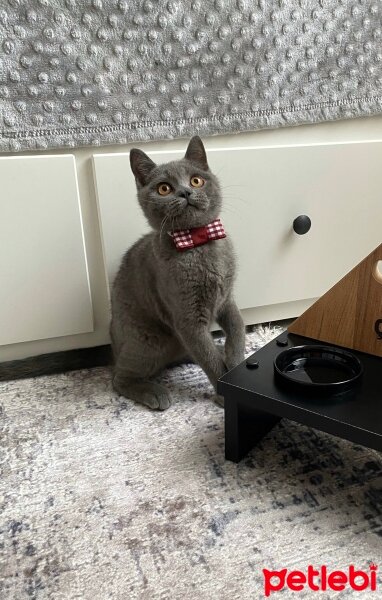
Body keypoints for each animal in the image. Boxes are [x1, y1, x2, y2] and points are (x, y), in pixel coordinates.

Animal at [110, 135, 245, 408]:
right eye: (164, 188)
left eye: (196, 180)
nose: (185, 192)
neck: (199, 242)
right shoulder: (188, 319)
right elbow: (210, 360)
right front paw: (225, 394)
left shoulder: (227, 299)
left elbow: (237, 330)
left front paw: (234, 363)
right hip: (149, 340)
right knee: (120, 378)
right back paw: (154, 393)